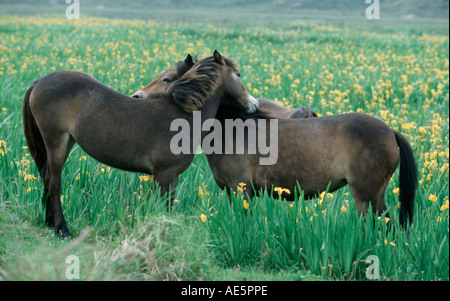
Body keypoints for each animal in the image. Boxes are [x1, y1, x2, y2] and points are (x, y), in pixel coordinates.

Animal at [22, 49, 258, 237]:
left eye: (167, 78)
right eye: (238, 75)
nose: (254, 104)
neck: (184, 115)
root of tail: (38, 82)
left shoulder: (168, 178)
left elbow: (165, 205)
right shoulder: (164, 175)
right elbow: (164, 207)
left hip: (66, 142)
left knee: (46, 176)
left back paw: (49, 221)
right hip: (56, 140)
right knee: (54, 181)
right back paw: (62, 229)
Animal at [134, 55, 418, 227]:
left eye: (168, 78)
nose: (136, 96)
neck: (233, 129)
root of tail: (390, 131)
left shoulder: (241, 189)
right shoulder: (231, 191)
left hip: (364, 197)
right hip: (377, 196)